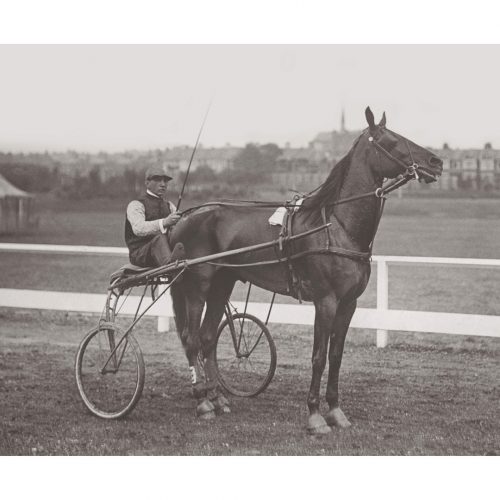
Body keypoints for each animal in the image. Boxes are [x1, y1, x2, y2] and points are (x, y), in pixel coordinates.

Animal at [170, 108, 444, 434]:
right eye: (391, 140)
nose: (436, 162)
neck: (336, 226)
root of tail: (183, 219)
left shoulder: (348, 304)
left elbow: (336, 357)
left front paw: (336, 411)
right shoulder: (325, 301)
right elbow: (318, 357)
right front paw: (314, 416)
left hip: (222, 284)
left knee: (208, 337)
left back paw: (218, 399)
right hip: (197, 286)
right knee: (191, 338)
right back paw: (202, 401)